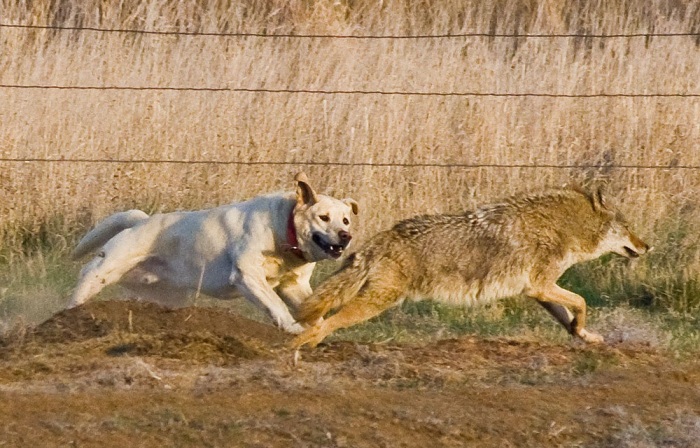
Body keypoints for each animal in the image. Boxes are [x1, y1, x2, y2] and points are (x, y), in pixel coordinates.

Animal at [68, 172, 358, 332]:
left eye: (345, 220)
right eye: (323, 217)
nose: (346, 236)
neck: (284, 231)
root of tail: (141, 221)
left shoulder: (293, 285)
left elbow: (315, 312)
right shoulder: (247, 276)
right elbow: (275, 305)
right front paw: (292, 329)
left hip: (167, 294)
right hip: (105, 268)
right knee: (85, 278)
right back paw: (70, 316)